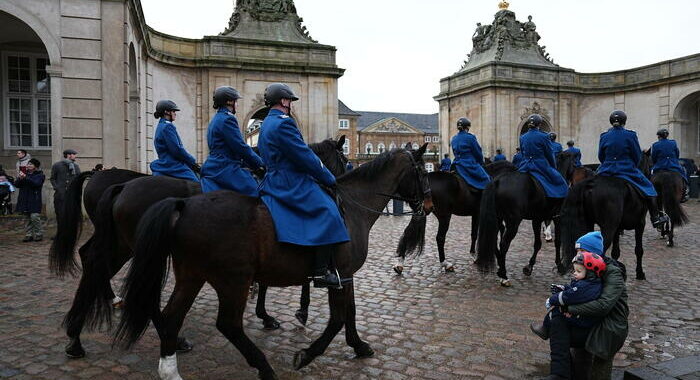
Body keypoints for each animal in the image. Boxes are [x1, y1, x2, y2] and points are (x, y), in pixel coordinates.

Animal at [57, 137, 350, 360]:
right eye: (344, 159)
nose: (337, 186)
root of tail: (120, 184)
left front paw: (269, 310)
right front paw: (291, 312)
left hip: (119, 242)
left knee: (92, 260)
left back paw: (78, 334)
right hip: (130, 247)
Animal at [113, 146, 432, 380]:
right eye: (423, 171)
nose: (429, 206)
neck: (352, 206)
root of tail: (183, 205)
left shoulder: (346, 276)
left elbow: (349, 314)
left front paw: (359, 345)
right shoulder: (338, 275)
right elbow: (338, 319)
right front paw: (305, 354)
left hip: (191, 275)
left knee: (171, 316)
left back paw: (171, 367)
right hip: (232, 280)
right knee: (228, 324)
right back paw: (264, 368)